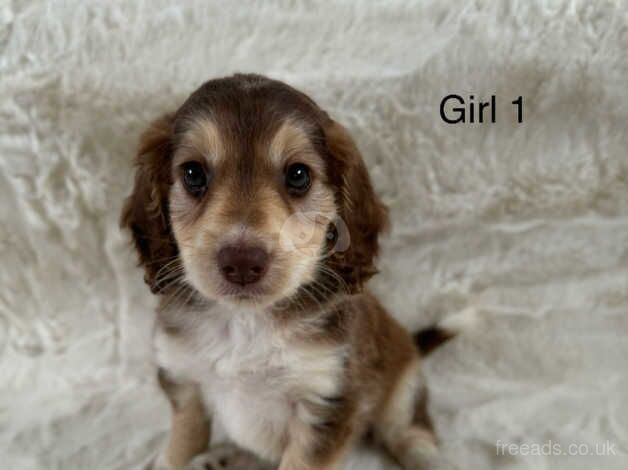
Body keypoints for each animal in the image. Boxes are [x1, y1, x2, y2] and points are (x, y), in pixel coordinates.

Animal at [122, 75, 446, 468]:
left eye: (298, 175)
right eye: (193, 173)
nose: (242, 262)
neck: (245, 323)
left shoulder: (327, 401)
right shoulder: (185, 381)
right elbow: (180, 448)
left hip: (403, 387)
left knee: (409, 430)